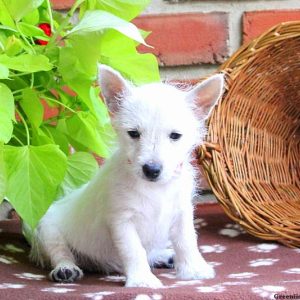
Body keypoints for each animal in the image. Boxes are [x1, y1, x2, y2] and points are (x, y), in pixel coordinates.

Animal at [30, 66, 224, 288]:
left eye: (175, 136)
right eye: (133, 133)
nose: (151, 169)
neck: (156, 189)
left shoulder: (182, 213)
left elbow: (187, 240)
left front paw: (194, 269)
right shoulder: (122, 221)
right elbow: (134, 250)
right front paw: (142, 280)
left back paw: (165, 256)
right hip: (47, 230)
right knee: (60, 252)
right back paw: (65, 269)